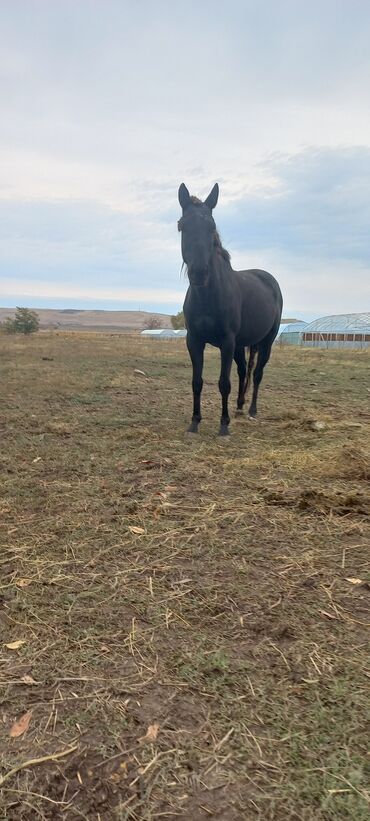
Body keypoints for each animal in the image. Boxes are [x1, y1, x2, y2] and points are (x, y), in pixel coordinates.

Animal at [178, 181, 282, 436]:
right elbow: (197, 381)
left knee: (257, 374)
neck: (208, 297)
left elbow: (224, 383)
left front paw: (223, 426)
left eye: (211, 226)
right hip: (241, 345)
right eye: (182, 226)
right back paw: (239, 406)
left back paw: (252, 410)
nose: (199, 273)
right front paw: (194, 422)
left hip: (265, 342)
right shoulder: (194, 340)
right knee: (243, 371)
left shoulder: (227, 341)